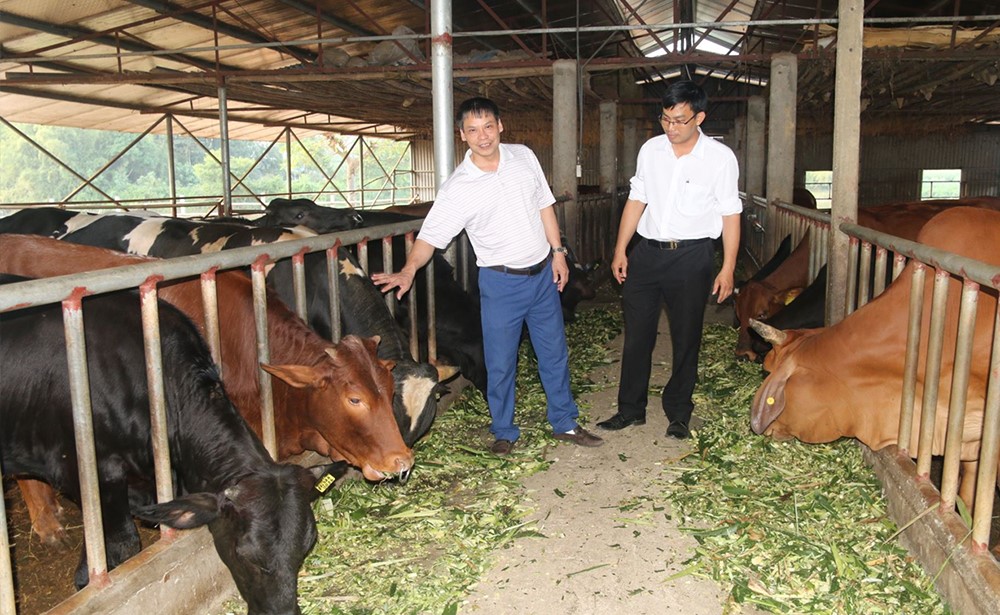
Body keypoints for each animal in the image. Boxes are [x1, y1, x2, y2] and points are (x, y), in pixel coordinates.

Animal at [0, 276, 328, 612]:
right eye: (245, 554)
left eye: (308, 545)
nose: (283, 611)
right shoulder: (91, 476)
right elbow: (120, 545)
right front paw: (85, 583)